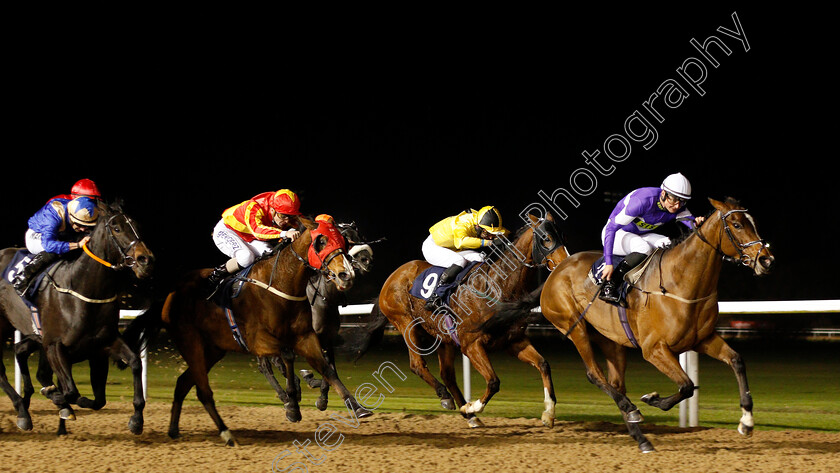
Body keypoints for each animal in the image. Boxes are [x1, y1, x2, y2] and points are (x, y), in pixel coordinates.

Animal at [125, 216, 370, 444]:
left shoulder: (308, 337)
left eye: (344, 242)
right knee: (202, 387)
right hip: (190, 342)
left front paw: (356, 406)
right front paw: (293, 403)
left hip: (212, 350)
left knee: (183, 383)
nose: (346, 274)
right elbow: (287, 356)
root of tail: (170, 294)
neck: (281, 285)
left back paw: (174, 429)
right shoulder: (257, 340)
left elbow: (328, 370)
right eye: (321, 241)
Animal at [344, 212, 568, 426]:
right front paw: (473, 406)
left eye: (561, 235)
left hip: (443, 337)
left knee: (448, 375)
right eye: (546, 239)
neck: (497, 285)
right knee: (417, 365)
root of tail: (391, 278)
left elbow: (543, 365)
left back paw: (468, 415)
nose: (563, 264)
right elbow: (493, 381)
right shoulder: (471, 344)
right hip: (406, 324)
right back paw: (447, 397)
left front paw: (549, 413)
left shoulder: (514, 340)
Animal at [540, 197, 776, 452]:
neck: (680, 282)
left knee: (616, 382)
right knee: (594, 374)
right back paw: (631, 410)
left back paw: (641, 437)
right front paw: (652, 399)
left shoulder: (702, 339)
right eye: (737, 224)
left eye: (753, 222)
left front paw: (747, 421)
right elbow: (687, 385)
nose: (766, 260)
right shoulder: (654, 349)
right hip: (575, 327)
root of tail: (558, 267)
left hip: (610, 339)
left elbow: (736, 361)